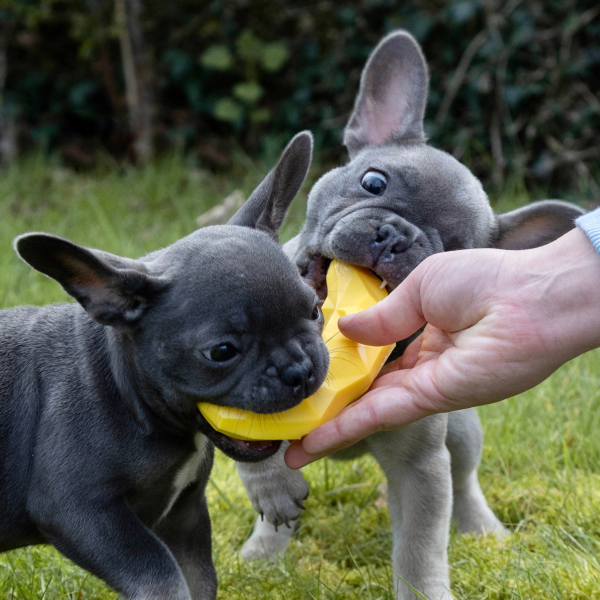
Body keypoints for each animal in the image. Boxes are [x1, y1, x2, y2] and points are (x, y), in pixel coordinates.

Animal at [0, 132, 328, 600]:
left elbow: (198, 579)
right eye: (222, 351)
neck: (124, 394)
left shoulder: (184, 516)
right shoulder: (83, 511)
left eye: (316, 309)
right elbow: (161, 576)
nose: (299, 369)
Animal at [237, 31, 584, 600]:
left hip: (461, 430)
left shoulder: (420, 467)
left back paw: (483, 530)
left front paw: (425, 590)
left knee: (465, 479)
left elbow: (420, 546)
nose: (397, 237)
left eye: (457, 250)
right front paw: (273, 488)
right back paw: (262, 553)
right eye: (374, 182)